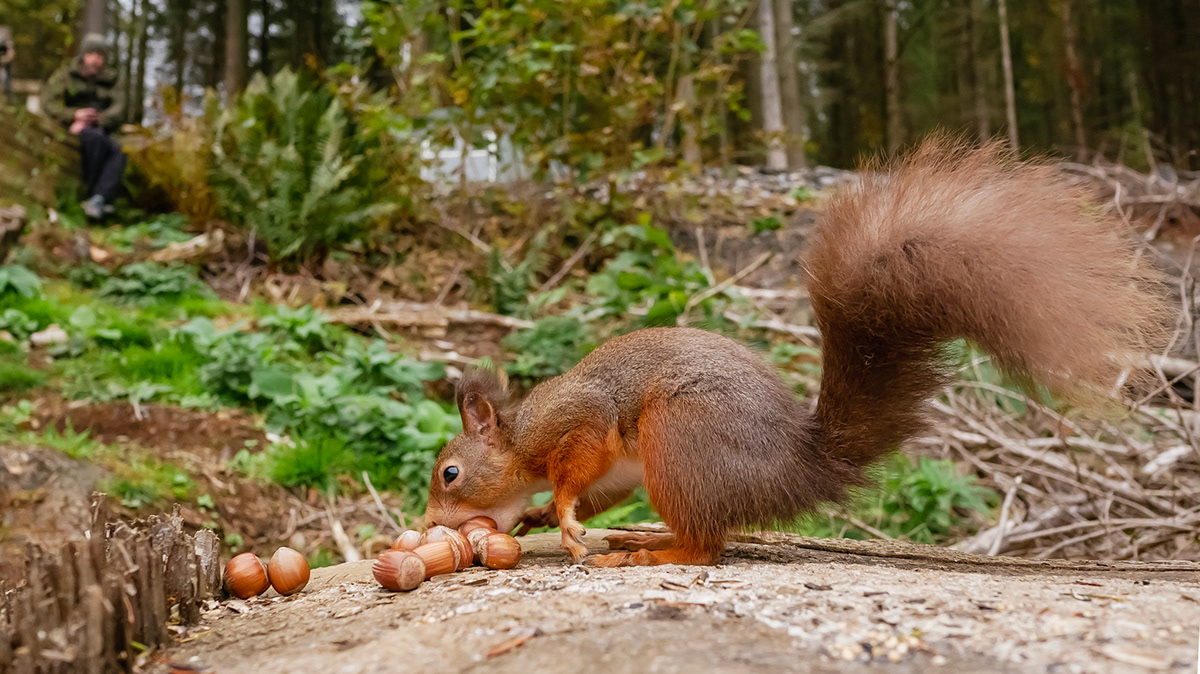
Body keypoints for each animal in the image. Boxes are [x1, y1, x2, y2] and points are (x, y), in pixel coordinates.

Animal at [420, 137, 1161, 566]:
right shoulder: (622, 475)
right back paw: (646, 537)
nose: (426, 521)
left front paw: (563, 513)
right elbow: (602, 490)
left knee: (706, 550)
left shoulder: (578, 422)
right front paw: (541, 515)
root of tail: (793, 469)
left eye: (449, 473)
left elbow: (579, 467)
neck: (519, 440)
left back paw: (647, 554)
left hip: (678, 436)